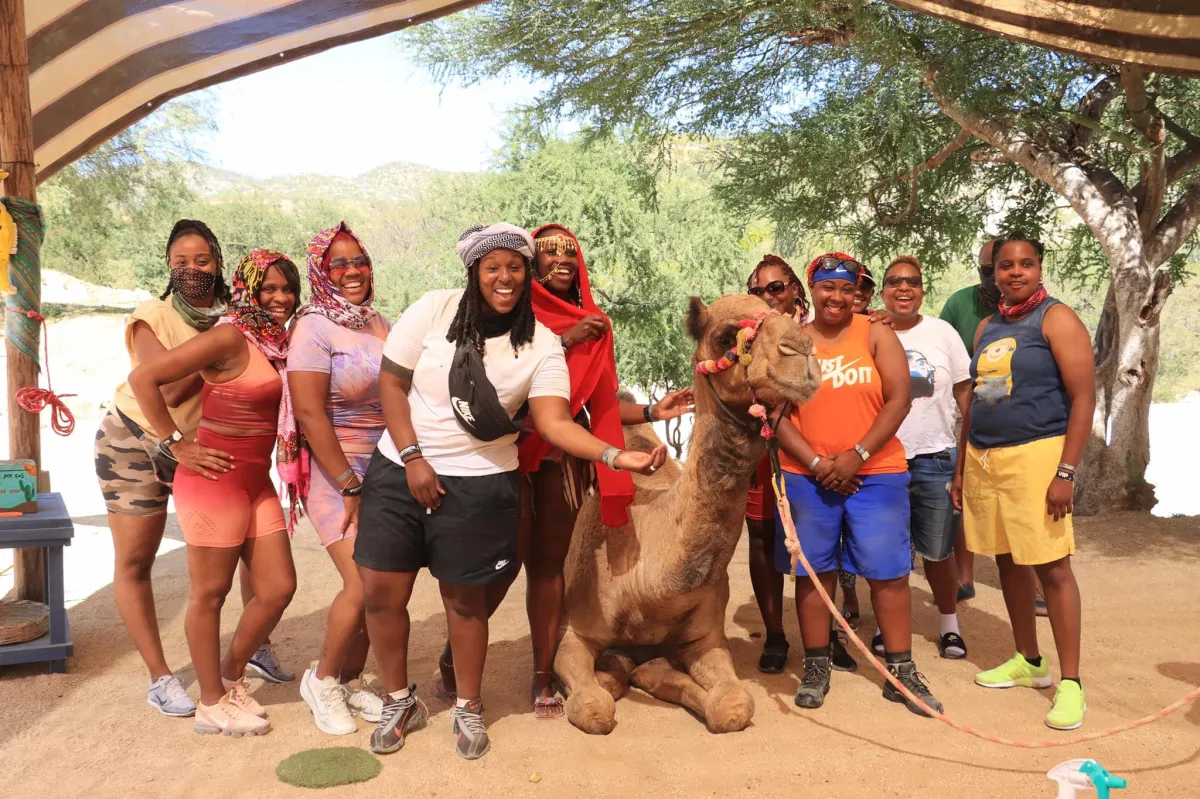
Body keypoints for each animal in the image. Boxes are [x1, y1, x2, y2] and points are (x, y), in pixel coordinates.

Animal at [554, 289, 820, 729]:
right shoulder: (577, 633)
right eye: (726, 337)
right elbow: (594, 705)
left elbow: (732, 705)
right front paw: (614, 674)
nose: (801, 352)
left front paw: (657, 672)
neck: (646, 576)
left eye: (787, 314)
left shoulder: (705, 638)